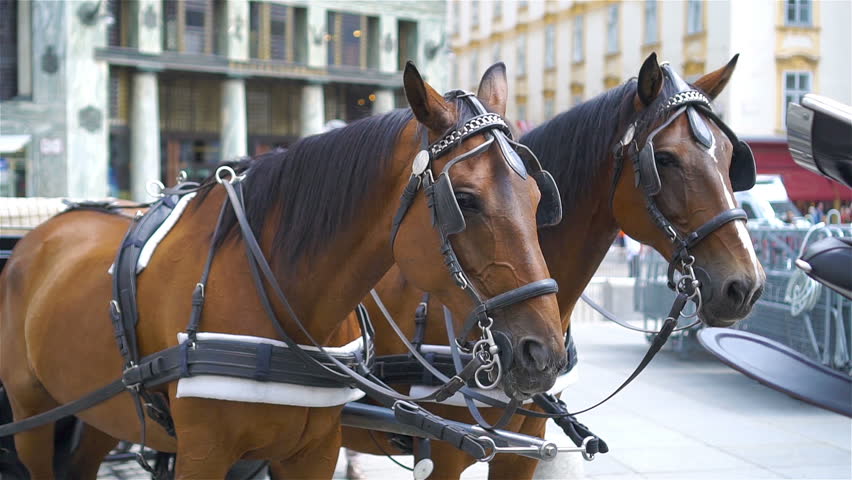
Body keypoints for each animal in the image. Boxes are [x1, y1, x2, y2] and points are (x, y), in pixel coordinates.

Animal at [0, 62, 567, 479]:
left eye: (539, 197)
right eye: (464, 200)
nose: (544, 354)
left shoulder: (313, 452)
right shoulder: (203, 454)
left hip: (98, 411)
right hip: (30, 415)